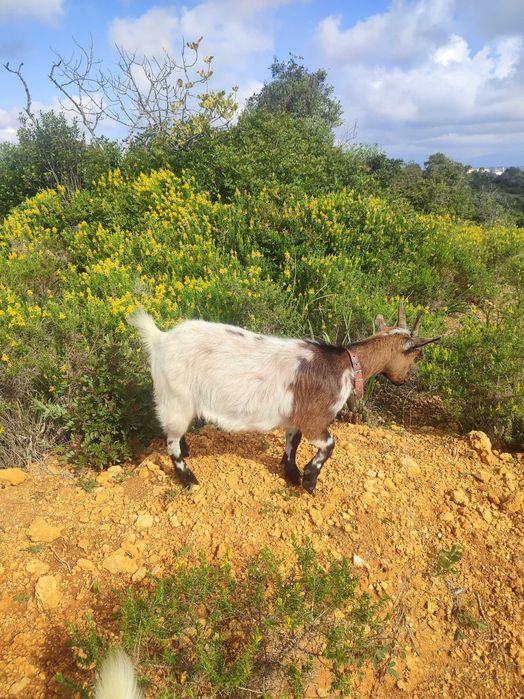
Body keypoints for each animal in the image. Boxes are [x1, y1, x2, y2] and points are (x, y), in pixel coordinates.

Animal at [128, 302, 439, 493]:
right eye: (417, 355)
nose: (403, 380)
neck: (347, 364)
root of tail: (160, 339)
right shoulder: (316, 419)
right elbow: (329, 445)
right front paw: (309, 481)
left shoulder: (294, 417)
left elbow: (292, 442)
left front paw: (291, 474)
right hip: (176, 397)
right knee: (170, 441)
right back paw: (189, 479)